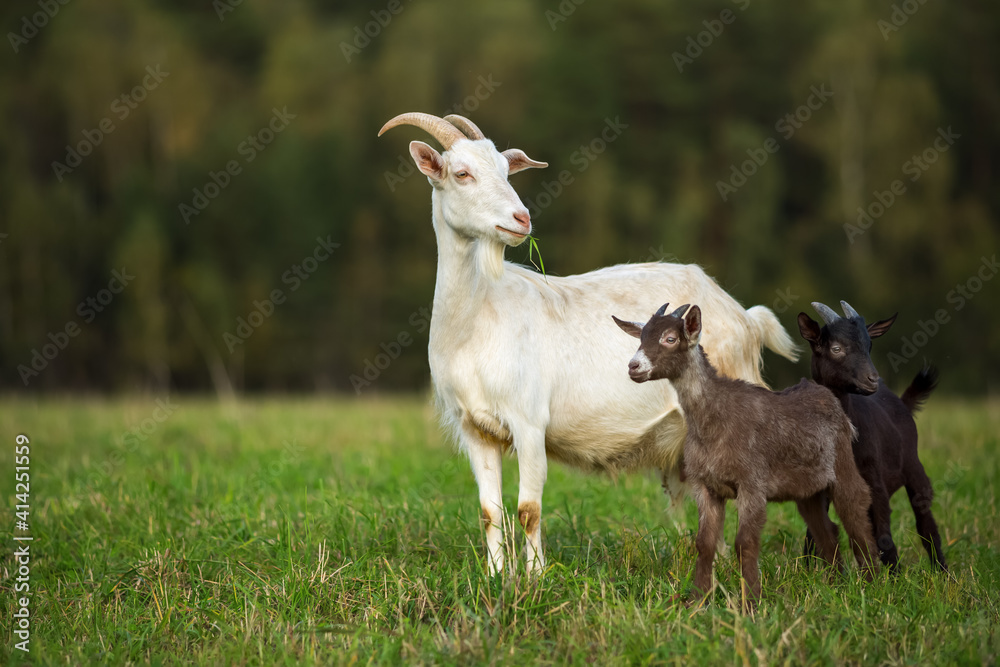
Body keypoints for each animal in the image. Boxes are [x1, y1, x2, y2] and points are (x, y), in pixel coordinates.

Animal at [379, 112, 800, 574]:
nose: (521, 218)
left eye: (507, 172)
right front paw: (495, 577)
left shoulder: (529, 421)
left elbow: (529, 509)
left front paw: (535, 578)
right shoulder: (475, 429)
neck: (476, 321)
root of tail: (745, 317)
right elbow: (490, 511)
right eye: (461, 174)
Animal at [615, 303, 878, 608]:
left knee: (856, 509)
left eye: (670, 338)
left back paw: (874, 583)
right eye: (642, 336)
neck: (713, 418)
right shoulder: (705, 485)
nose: (634, 366)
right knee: (827, 530)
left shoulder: (752, 482)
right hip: (807, 490)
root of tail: (827, 396)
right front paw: (697, 601)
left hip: (842, 461)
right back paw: (836, 584)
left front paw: (751, 602)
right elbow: (704, 543)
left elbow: (745, 543)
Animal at [798, 301, 947, 571]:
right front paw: (809, 571)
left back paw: (942, 572)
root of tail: (901, 402)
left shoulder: (874, 480)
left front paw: (894, 577)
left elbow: (883, 534)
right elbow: (815, 532)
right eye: (836, 348)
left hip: (914, 467)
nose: (872, 380)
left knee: (926, 523)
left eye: (869, 346)